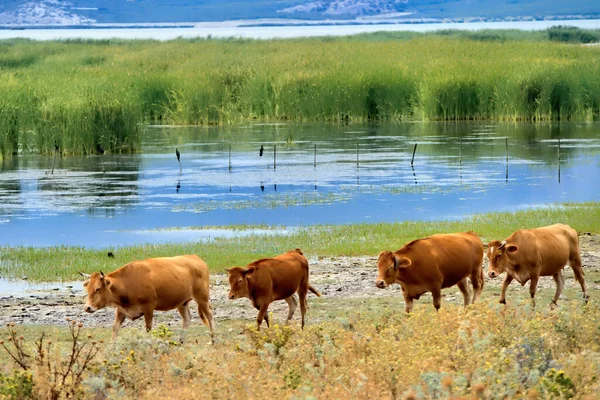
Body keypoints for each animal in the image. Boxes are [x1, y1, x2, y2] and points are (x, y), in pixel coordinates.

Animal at [81, 255, 214, 340]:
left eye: (98, 289)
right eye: (88, 289)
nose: (87, 307)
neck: (127, 283)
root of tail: (196, 258)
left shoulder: (149, 308)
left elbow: (148, 329)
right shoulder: (121, 310)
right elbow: (115, 329)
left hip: (202, 297)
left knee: (209, 315)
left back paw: (213, 339)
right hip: (183, 302)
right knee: (187, 318)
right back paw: (181, 341)